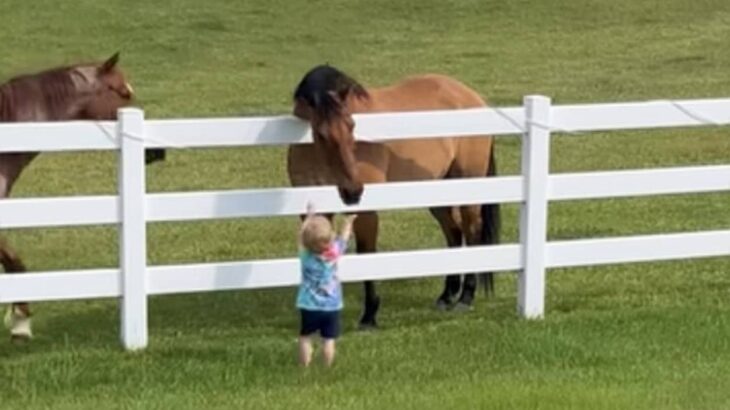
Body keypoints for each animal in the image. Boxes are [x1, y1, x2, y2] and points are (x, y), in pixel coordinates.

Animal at [288, 65, 498, 330]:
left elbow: (367, 255)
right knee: (454, 232)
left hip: (469, 187)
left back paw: (465, 298)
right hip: (437, 193)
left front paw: (369, 315)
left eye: (352, 125)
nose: (354, 191)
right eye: (322, 134)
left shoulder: (366, 213)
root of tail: (472, 97)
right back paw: (446, 296)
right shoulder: (312, 212)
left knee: (471, 232)